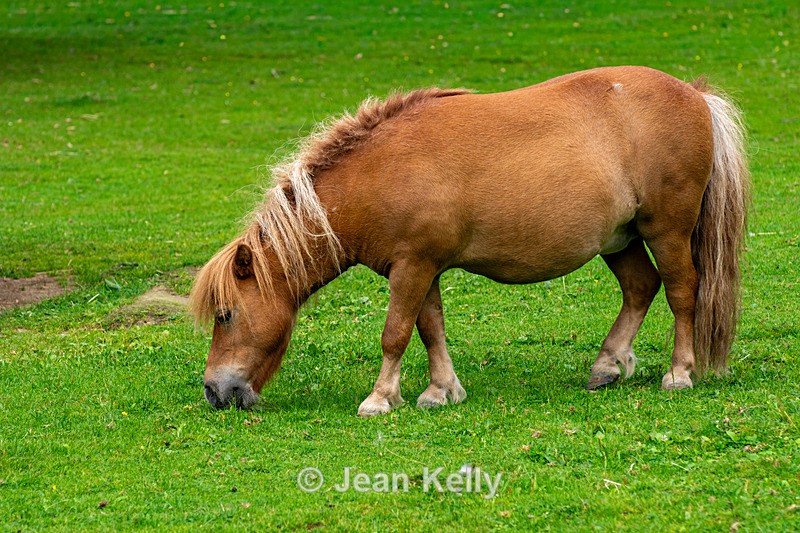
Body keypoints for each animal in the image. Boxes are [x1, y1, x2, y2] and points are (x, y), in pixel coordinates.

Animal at [189, 66, 749, 416]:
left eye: (226, 315)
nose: (215, 391)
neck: (379, 173)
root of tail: (695, 94)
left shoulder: (412, 267)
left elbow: (396, 333)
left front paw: (380, 398)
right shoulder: (422, 267)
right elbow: (429, 329)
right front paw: (441, 390)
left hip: (666, 231)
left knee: (681, 292)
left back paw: (679, 372)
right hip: (620, 240)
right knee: (640, 288)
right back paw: (608, 364)